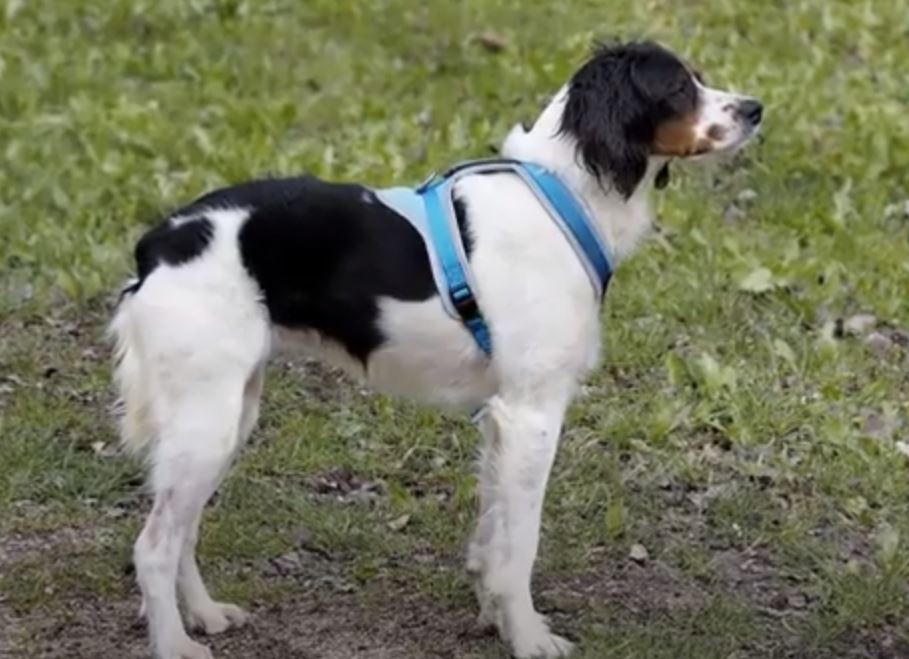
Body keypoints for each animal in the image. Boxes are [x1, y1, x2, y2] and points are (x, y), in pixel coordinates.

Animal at [111, 40, 768, 659]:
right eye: (678, 88)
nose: (755, 109)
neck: (564, 192)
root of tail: (159, 243)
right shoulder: (532, 415)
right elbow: (521, 544)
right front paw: (529, 637)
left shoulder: (500, 419)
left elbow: (493, 535)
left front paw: (495, 614)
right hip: (207, 423)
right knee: (154, 545)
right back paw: (175, 643)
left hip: (225, 415)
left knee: (184, 530)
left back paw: (205, 614)